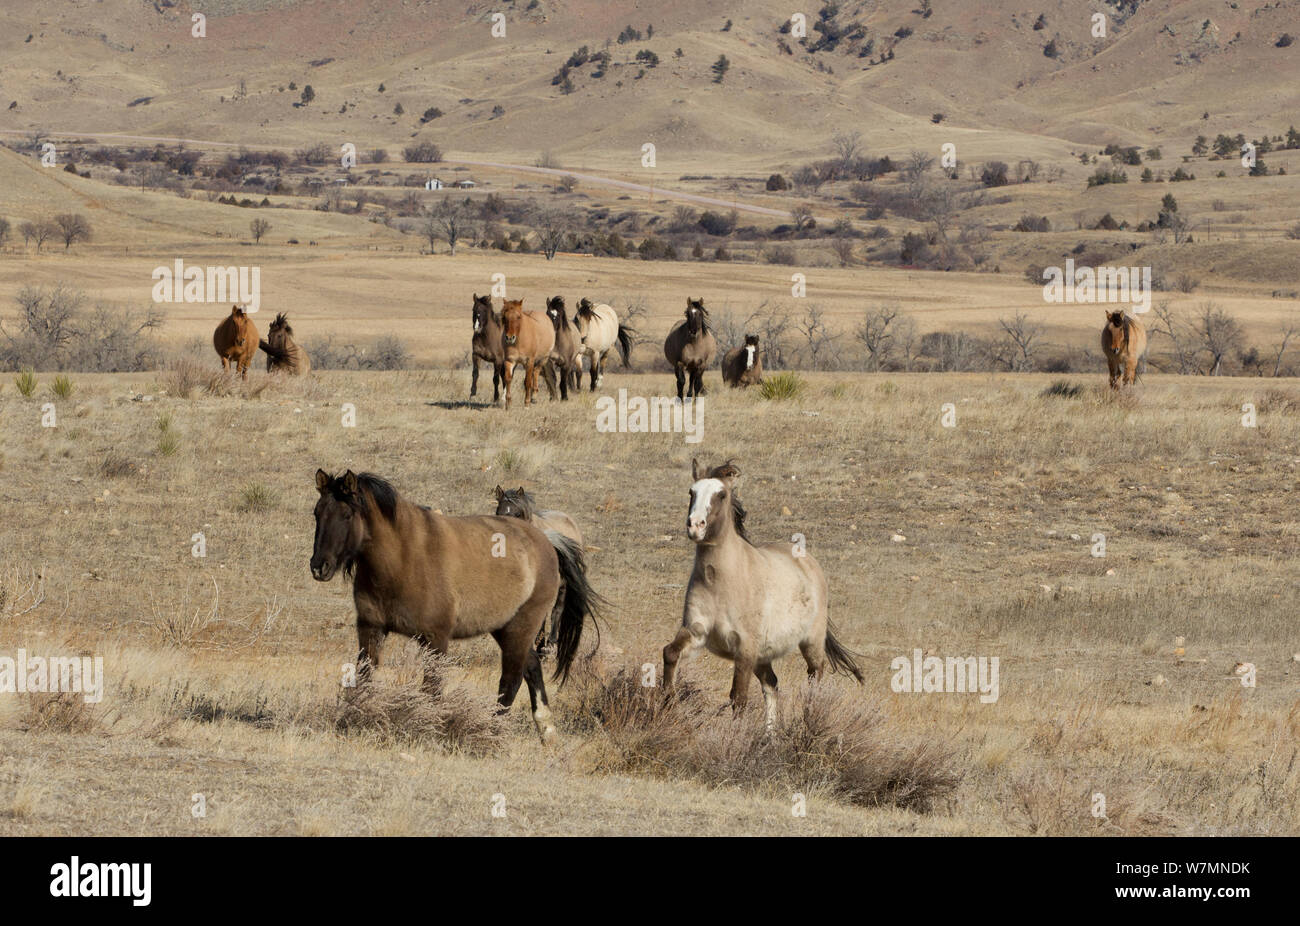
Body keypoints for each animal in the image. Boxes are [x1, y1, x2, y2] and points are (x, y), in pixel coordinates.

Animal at [495, 485, 585, 653]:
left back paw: (550, 642)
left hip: (563, 586)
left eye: (518, 514)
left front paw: (540, 644)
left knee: (557, 610)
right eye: (498, 512)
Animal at [662, 459, 863, 730]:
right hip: (763, 656)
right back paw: (770, 734)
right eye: (691, 492)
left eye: (721, 495)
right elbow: (670, 653)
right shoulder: (697, 632)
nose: (695, 526)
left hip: (810, 643)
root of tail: (808, 561)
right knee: (772, 684)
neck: (720, 583)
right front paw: (667, 707)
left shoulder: (744, 648)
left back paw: (808, 721)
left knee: (814, 677)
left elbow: (738, 697)